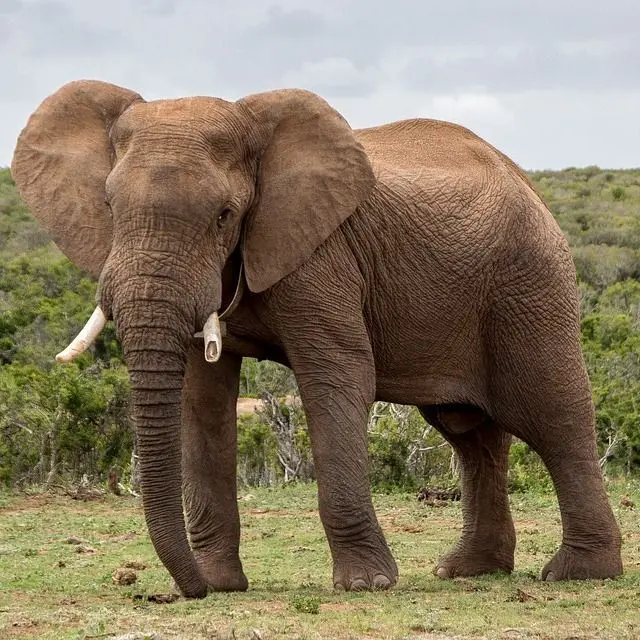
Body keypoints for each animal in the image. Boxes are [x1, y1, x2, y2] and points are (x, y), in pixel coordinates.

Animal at [11, 80, 623, 598]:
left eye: (225, 215)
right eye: (109, 207)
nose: (188, 591)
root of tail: (527, 182)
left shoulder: (322, 256)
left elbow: (338, 378)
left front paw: (366, 586)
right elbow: (200, 398)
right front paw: (221, 583)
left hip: (530, 281)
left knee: (553, 415)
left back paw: (579, 574)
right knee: (469, 432)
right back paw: (467, 571)